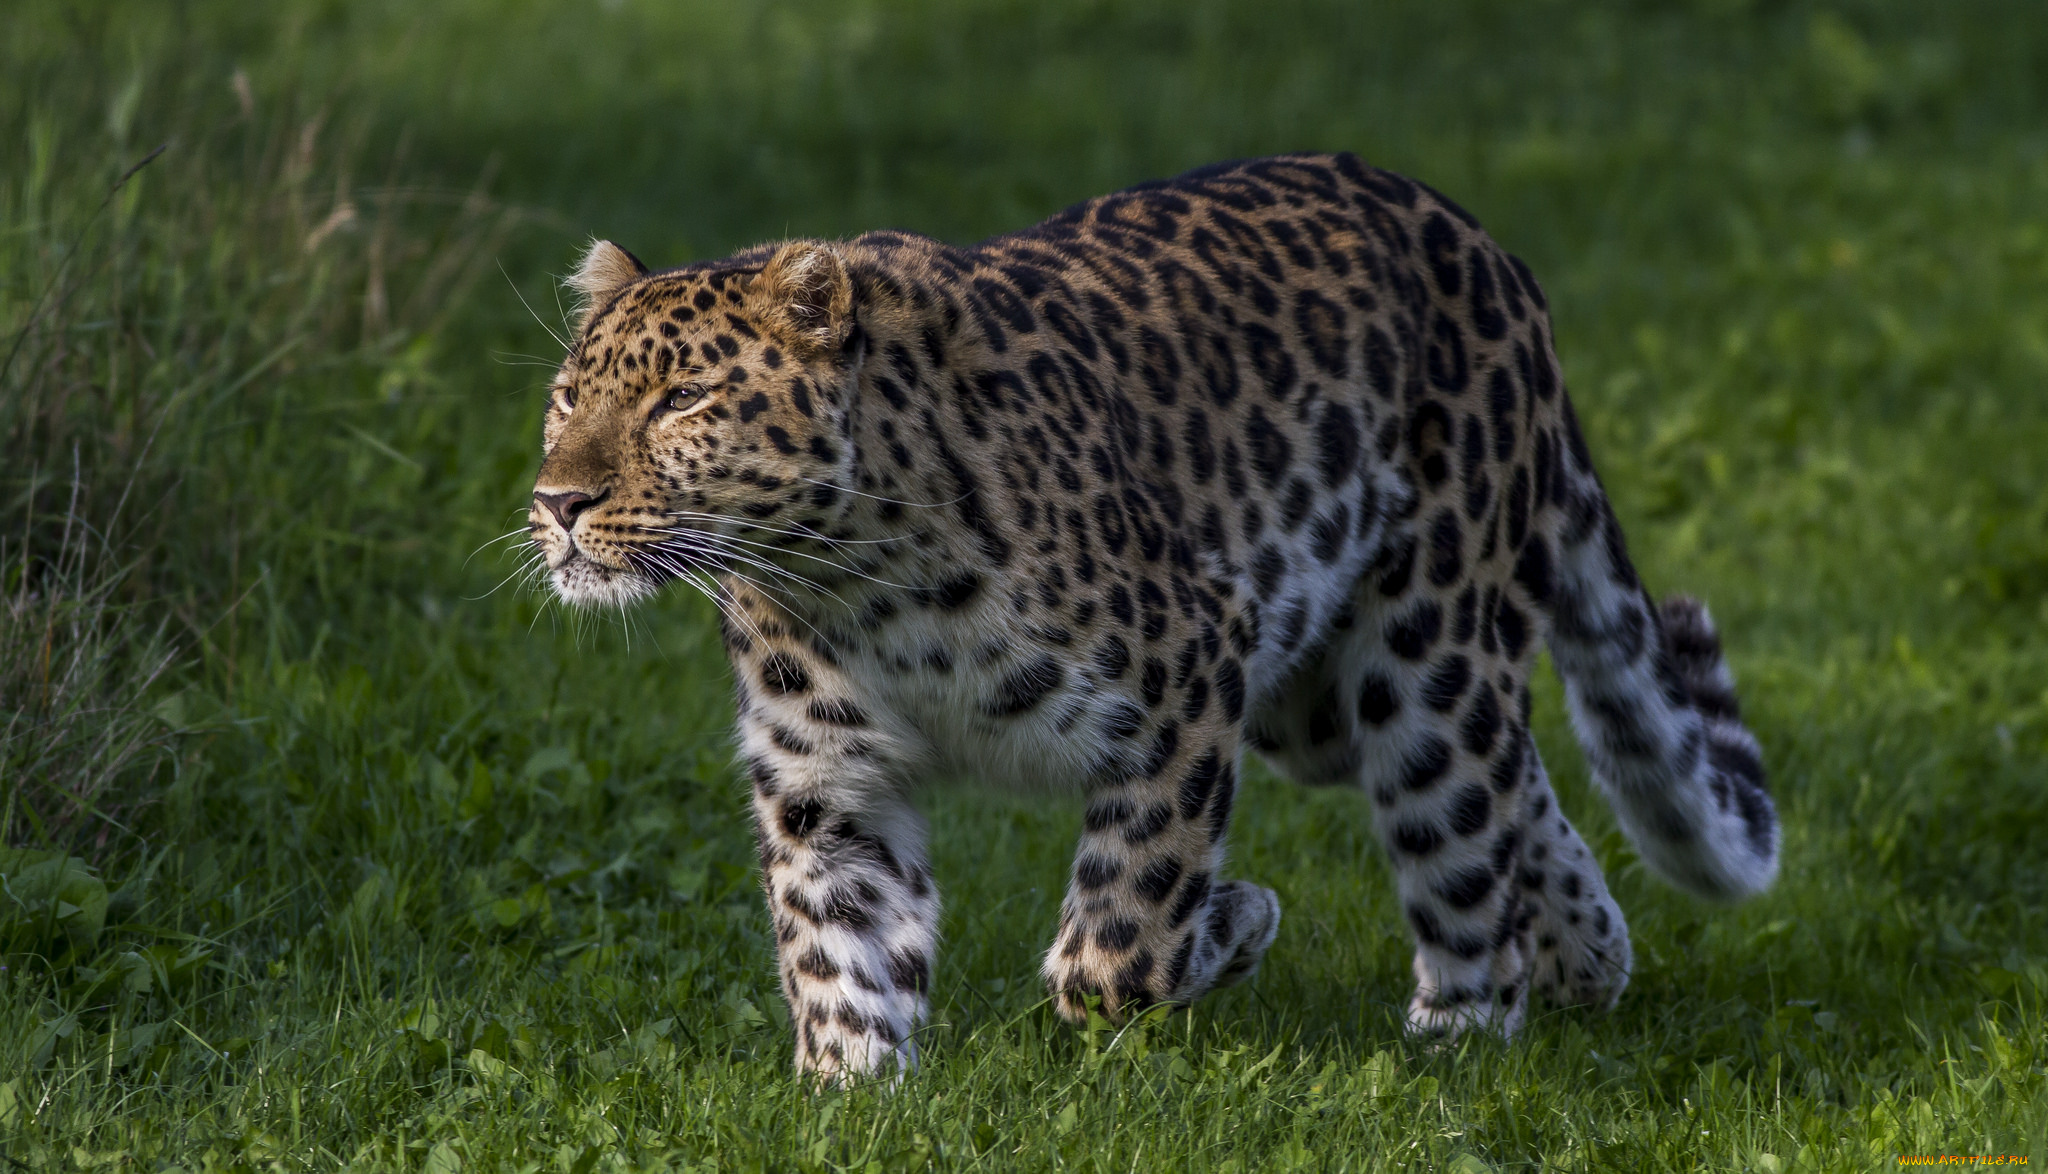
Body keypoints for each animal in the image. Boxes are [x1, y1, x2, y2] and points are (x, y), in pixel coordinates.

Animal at [528, 150, 1777, 1073]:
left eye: (683, 399)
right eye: (566, 396)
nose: (556, 502)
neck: (840, 577)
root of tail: (1488, 248)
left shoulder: (1187, 665)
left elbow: (1119, 940)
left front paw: (1233, 922)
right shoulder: (825, 778)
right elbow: (839, 952)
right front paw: (852, 1096)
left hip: (1420, 649)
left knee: (1459, 812)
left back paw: (1459, 1032)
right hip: (1312, 702)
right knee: (1516, 777)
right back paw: (1588, 950)